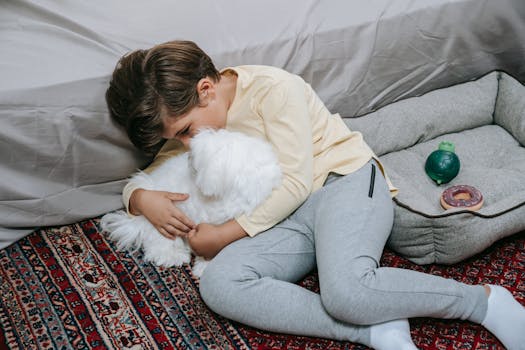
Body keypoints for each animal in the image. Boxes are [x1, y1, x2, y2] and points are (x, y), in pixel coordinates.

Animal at [103, 129, 282, 276]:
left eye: (197, 155)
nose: (188, 156)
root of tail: (138, 221)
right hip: (164, 225)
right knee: (158, 244)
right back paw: (173, 255)